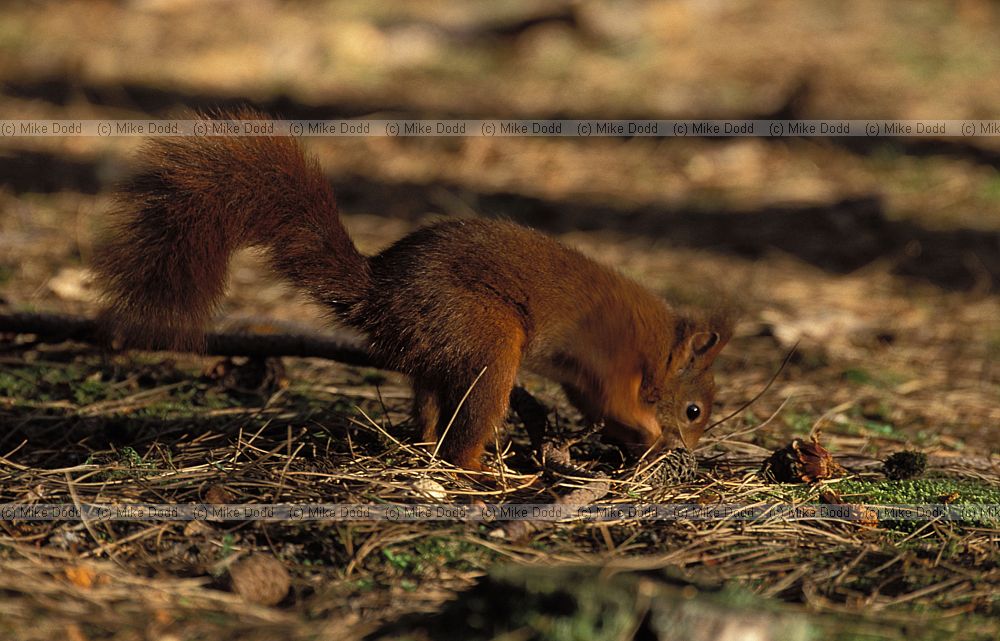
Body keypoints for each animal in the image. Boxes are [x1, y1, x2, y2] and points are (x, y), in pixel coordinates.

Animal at [93, 110, 733, 471]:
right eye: (695, 409)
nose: (692, 450)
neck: (658, 345)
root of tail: (378, 292)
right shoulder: (611, 359)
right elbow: (616, 401)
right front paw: (653, 435)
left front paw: (643, 446)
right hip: (486, 336)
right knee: (462, 438)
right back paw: (481, 474)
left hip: (438, 351)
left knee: (428, 412)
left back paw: (423, 447)